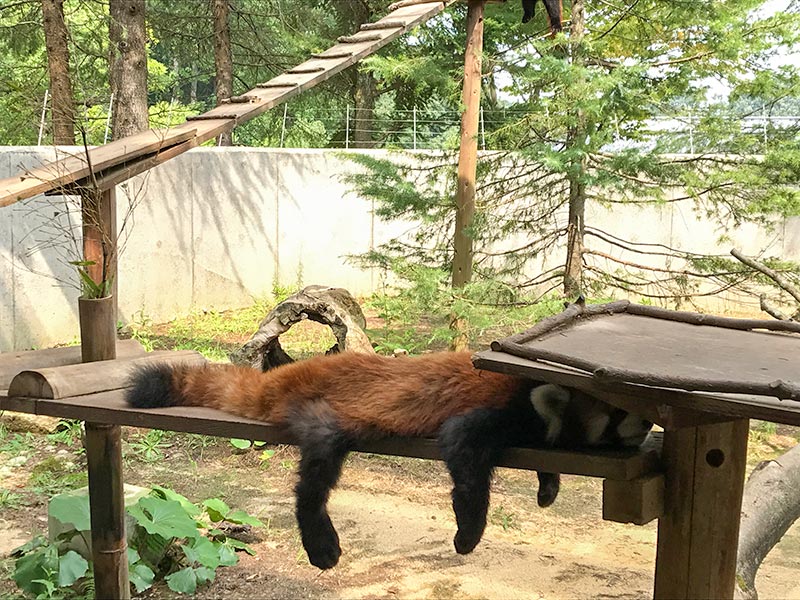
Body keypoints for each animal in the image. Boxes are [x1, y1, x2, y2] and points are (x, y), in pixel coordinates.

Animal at [125, 354, 648, 568]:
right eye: (618, 413)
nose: (647, 425)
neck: (530, 390)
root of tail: (287, 374)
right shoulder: (498, 411)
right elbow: (465, 458)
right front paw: (467, 534)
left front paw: (548, 485)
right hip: (322, 413)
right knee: (317, 471)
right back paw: (319, 539)